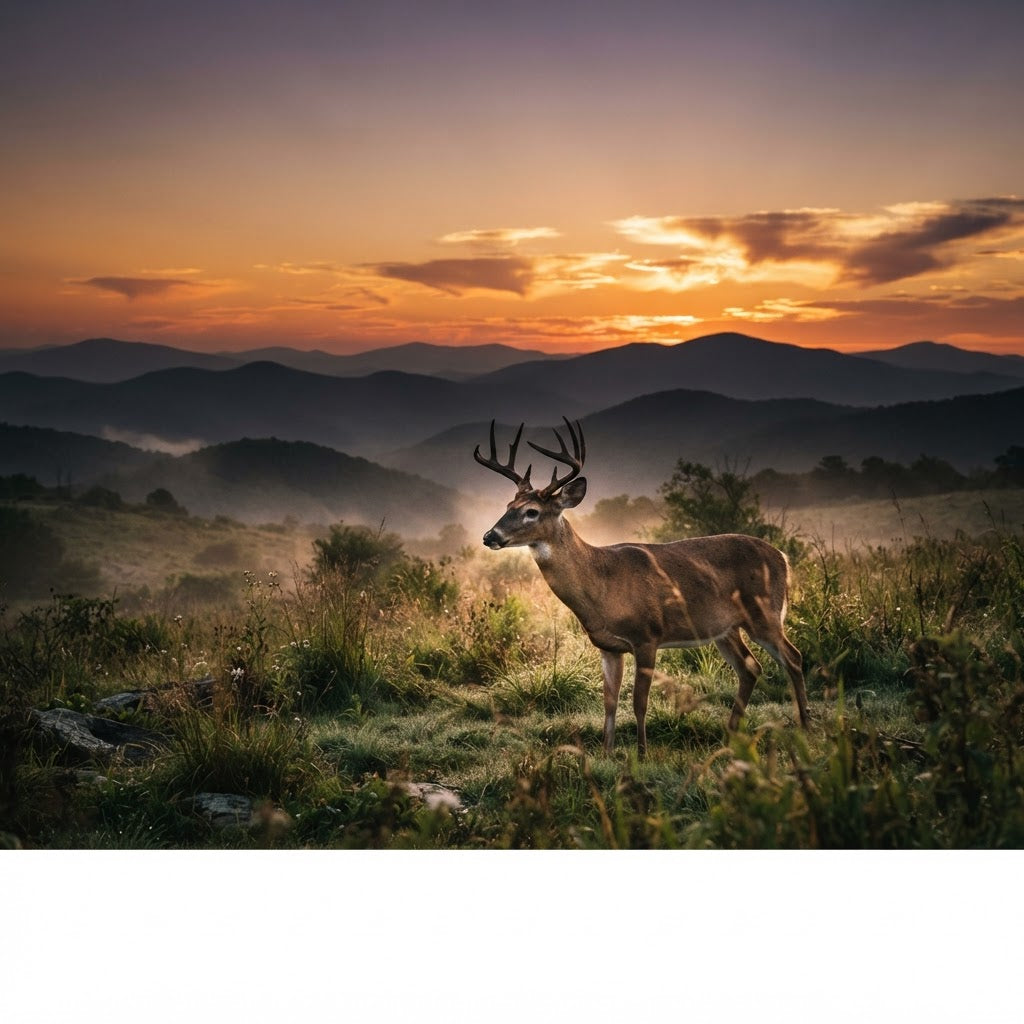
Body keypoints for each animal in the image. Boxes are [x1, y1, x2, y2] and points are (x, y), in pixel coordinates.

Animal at [474, 417, 809, 757]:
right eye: (508, 504)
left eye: (532, 511)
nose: (490, 536)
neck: (601, 584)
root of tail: (782, 556)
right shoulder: (608, 646)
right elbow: (609, 703)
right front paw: (606, 754)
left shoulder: (647, 636)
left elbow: (639, 701)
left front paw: (641, 754)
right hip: (726, 629)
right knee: (751, 667)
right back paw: (731, 737)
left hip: (764, 613)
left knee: (793, 657)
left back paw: (805, 727)